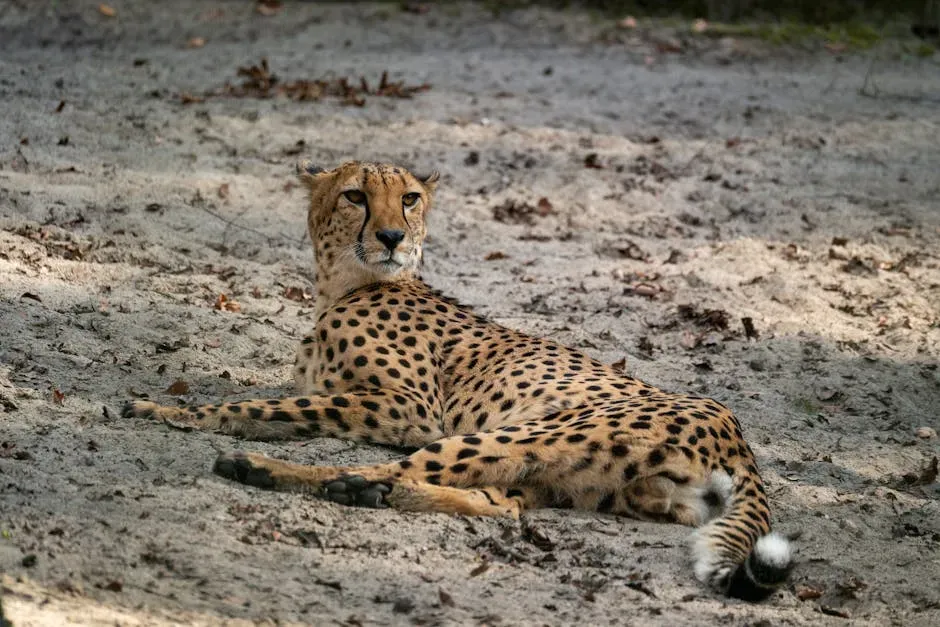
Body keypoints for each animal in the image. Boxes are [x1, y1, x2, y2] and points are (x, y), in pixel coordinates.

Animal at [123, 160, 794, 601]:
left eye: (410, 199)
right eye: (355, 196)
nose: (392, 236)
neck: (343, 284)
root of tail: (735, 430)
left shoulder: (407, 408)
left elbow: (257, 407)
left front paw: (167, 411)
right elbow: (273, 402)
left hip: (528, 433)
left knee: (399, 470)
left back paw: (288, 475)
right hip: (577, 477)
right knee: (503, 505)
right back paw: (365, 493)